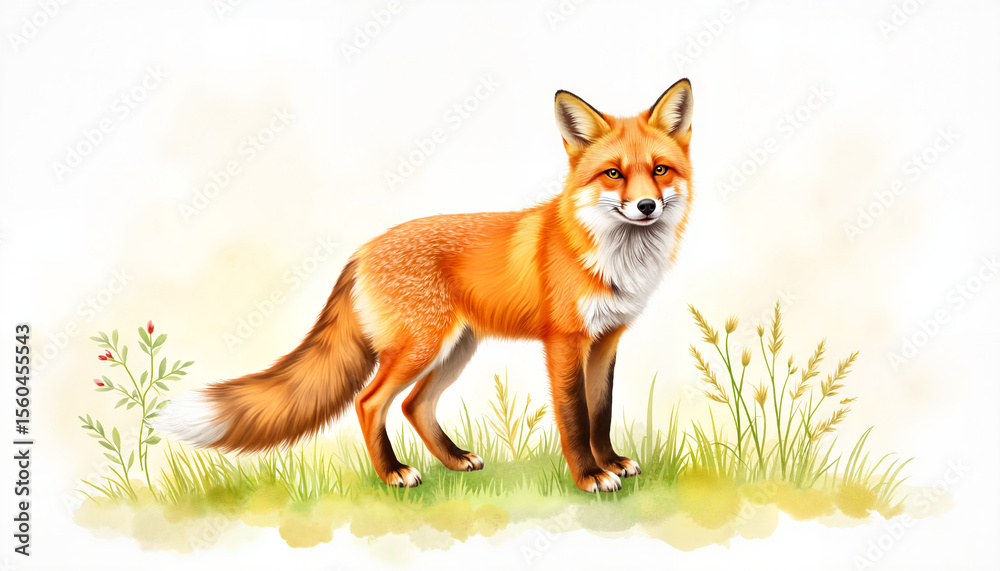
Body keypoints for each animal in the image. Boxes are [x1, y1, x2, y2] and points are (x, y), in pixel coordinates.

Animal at [157, 78, 694, 493]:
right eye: (613, 174)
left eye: (660, 170)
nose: (646, 206)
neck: (611, 257)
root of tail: (361, 250)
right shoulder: (564, 342)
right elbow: (575, 416)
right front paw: (589, 477)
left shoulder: (606, 340)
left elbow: (601, 411)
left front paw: (612, 462)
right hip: (420, 347)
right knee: (370, 402)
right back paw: (393, 473)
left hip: (455, 349)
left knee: (415, 405)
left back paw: (454, 460)